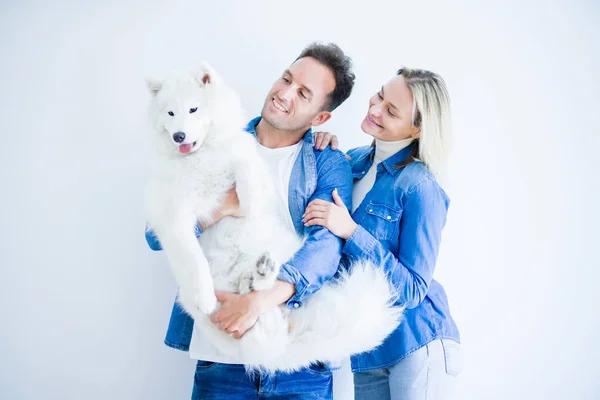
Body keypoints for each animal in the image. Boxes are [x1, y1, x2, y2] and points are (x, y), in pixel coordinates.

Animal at [144, 61, 404, 372]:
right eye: (170, 114)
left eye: (193, 109)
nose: (179, 136)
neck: (201, 156)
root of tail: (290, 337)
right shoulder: (172, 215)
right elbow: (192, 258)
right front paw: (204, 294)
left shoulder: (248, 163)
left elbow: (245, 167)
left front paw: (249, 199)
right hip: (206, 304)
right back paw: (252, 280)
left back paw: (263, 273)